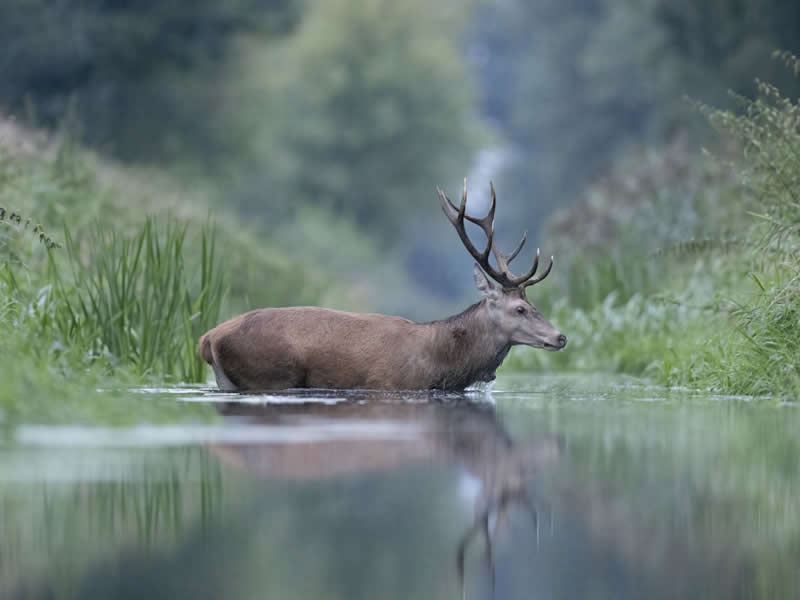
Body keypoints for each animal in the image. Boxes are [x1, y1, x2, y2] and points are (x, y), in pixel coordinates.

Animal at [197, 180, 567, 392]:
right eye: (520, 309)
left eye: (534, 305)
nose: (560, 336)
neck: (440, 363)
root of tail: (208, 338)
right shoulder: (390, 383)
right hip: (269, 374)